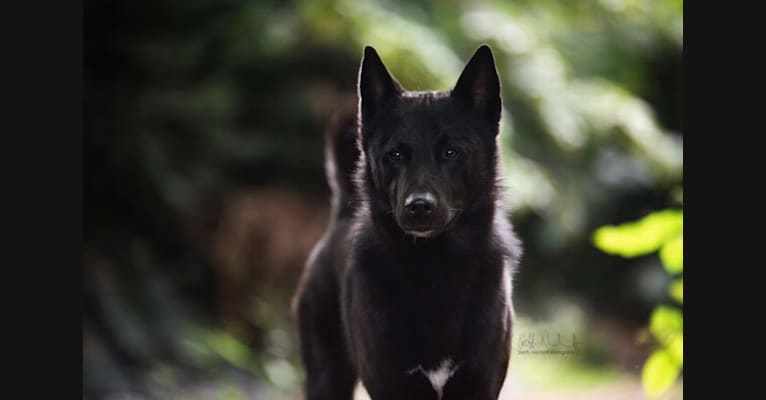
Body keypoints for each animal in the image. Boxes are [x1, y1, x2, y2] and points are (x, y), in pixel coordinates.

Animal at [292, 45, 520, 398]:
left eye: (452, 152)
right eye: (395, 155)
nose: (419, 207)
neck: (434, 267)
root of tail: (339, 218)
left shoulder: (479, 385)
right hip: (326, 378)